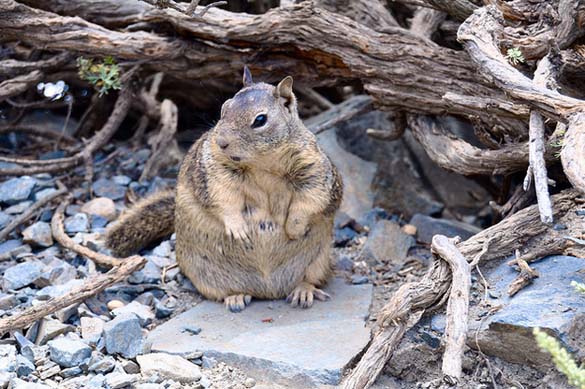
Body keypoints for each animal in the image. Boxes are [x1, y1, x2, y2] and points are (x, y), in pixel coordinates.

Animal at [105, 66, 342, 310]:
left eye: (260, 119)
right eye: (224, 108)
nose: (221, 142)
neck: (262, 162)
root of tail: (269, 290)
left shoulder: (314, 169)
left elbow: (311, 199)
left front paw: (294, 228)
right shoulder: (214, 170)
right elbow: (224, 199)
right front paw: (238, 228)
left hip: (320, 262)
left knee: (310, 279)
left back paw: (303, 291)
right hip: (201, 273)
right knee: (223, 292)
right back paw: (236, 297)